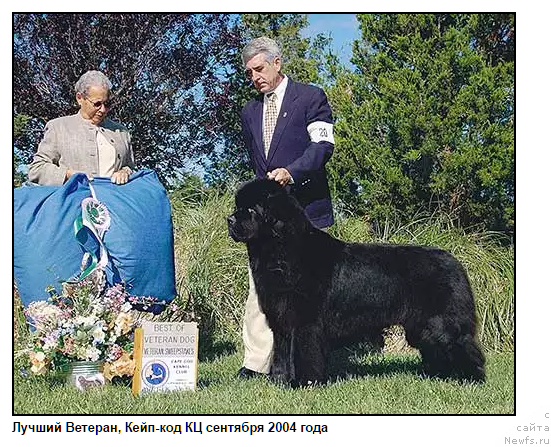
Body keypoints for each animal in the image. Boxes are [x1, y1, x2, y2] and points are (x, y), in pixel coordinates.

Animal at [226, 177, 486, 386]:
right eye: (238, 207)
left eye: (250, 209)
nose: (229, 219)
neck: (282, 249)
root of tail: (453, 260)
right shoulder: (281, 319)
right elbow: (281, 353)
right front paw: (279, 381)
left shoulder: (305, 322)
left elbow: (303, 353)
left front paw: (304, 383)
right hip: (421, 327)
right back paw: (440, 376)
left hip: (442, 323)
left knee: (463, 345)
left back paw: (472, 379)